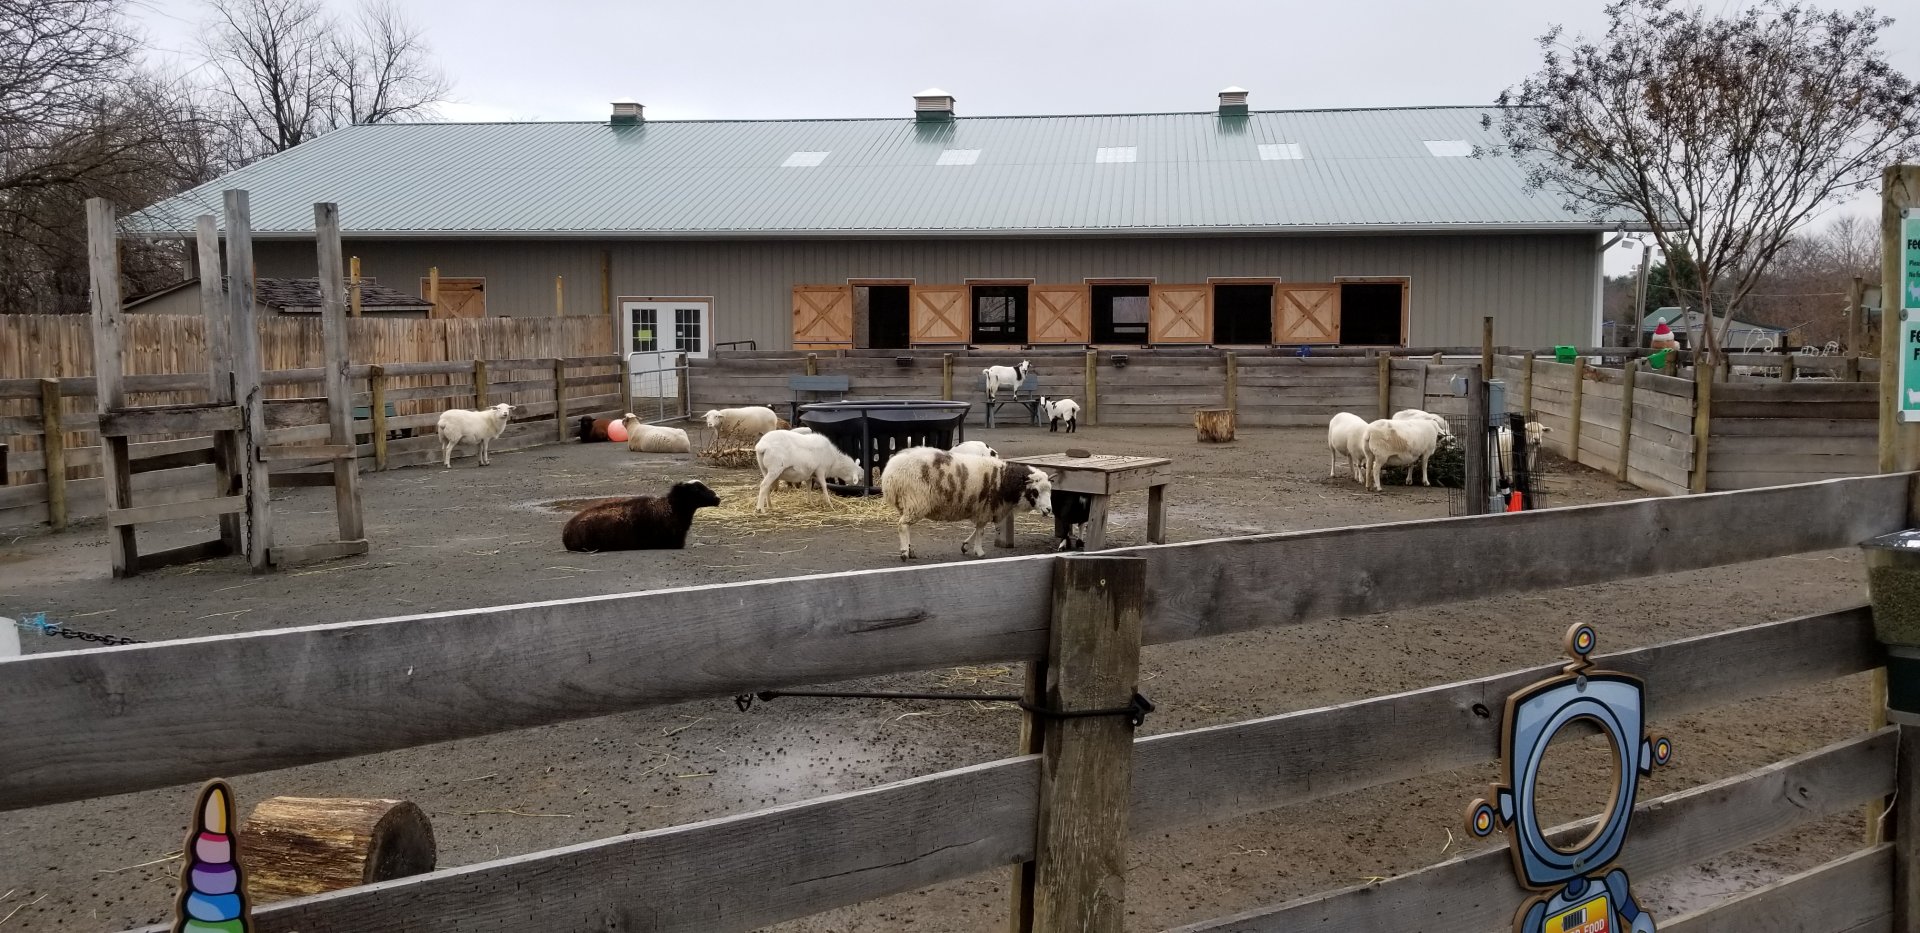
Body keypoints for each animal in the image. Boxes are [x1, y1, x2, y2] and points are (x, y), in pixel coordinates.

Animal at [881, 446, 1052, 559]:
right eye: (1035, 491)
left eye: (1049, 490)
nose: (1049, 510)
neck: (1004, 479)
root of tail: (890, 473)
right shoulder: (986, 508)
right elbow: (981, 531)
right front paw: (979, 552)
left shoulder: (982, 510)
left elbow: (978, 529)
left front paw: (966, 546)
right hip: (916, 501)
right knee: (903, 526)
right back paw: (904, 552)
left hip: (906, 503)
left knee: (906, 527)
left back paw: (910, 551)